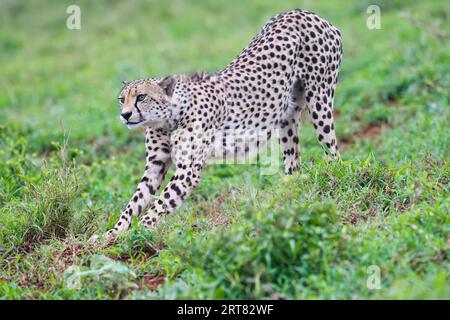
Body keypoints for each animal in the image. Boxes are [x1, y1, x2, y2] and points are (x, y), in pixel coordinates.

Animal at [107, 8, 342, 236]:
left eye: (141, 97)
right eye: (122, 99)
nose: (125, 115)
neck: (166, 120)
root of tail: (307, 13)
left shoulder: (188, 170)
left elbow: (162, 203)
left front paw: (140, 229)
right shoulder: (155, 166)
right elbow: (135, 201)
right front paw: (114, 233)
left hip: (320, 103)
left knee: (333, 153)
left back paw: (332, 183)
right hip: (287, 118)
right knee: (294, 164)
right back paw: (287, 198)